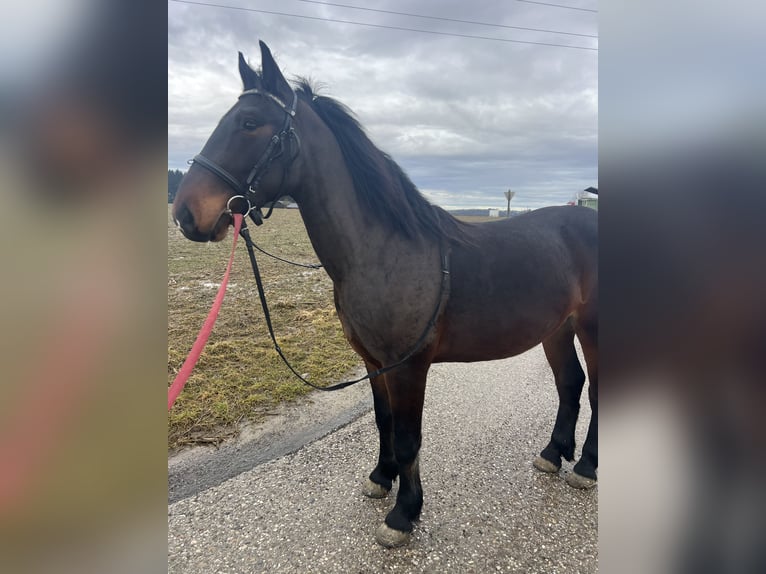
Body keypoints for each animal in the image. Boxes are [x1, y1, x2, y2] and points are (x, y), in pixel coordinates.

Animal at [172, 41, 598, 548]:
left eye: (250, 123)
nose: (185, 213)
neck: (383, 250)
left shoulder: (408, 366)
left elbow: (409, 436)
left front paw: (403, 514)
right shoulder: (374, 362)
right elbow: (384, 421)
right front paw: (381, 478)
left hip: (593, 328)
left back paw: (586, 467)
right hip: (558, 329)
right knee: (571, 383)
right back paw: (553, 454)